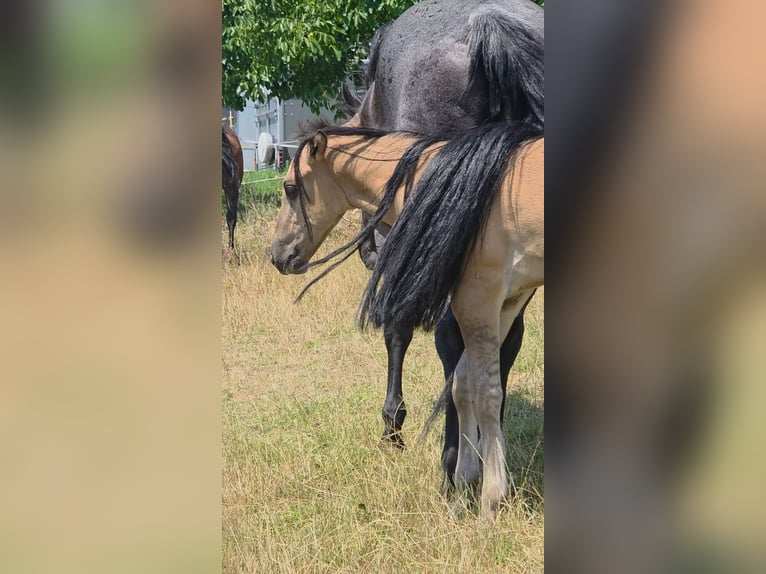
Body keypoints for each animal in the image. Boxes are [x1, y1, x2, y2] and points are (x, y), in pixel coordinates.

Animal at [269, 120, 543, 518]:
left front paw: (492, 500)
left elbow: (484, 391)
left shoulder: (478, 297)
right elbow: (461, 385)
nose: (277, 255)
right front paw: (464, 483)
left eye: (290, 188)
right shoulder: (508, 300)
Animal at [341, 0, 543, 487]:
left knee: (454, 340)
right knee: (500, 342)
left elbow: (397, 327)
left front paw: (392, 424)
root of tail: (489, 28)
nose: (366, 250)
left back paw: (457, 463)